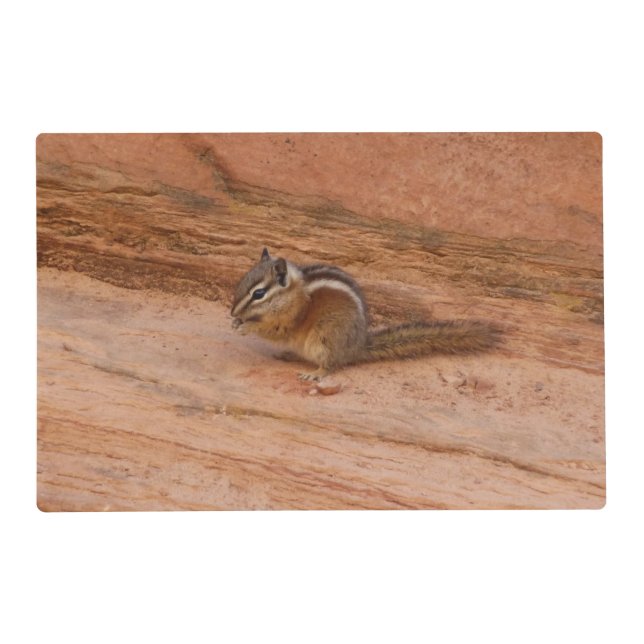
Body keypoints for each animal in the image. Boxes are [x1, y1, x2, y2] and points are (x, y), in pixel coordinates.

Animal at [231, 248, 500, 381]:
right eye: (243, 282)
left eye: (258, 293)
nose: (232, 311)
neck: (292, 293)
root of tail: (357, 347)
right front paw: (236, 321)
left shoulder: (293, 317)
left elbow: (275, 330)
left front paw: (246, 326)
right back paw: (287, 355)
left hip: (324, 338)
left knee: (331, 364)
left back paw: (315, 373)